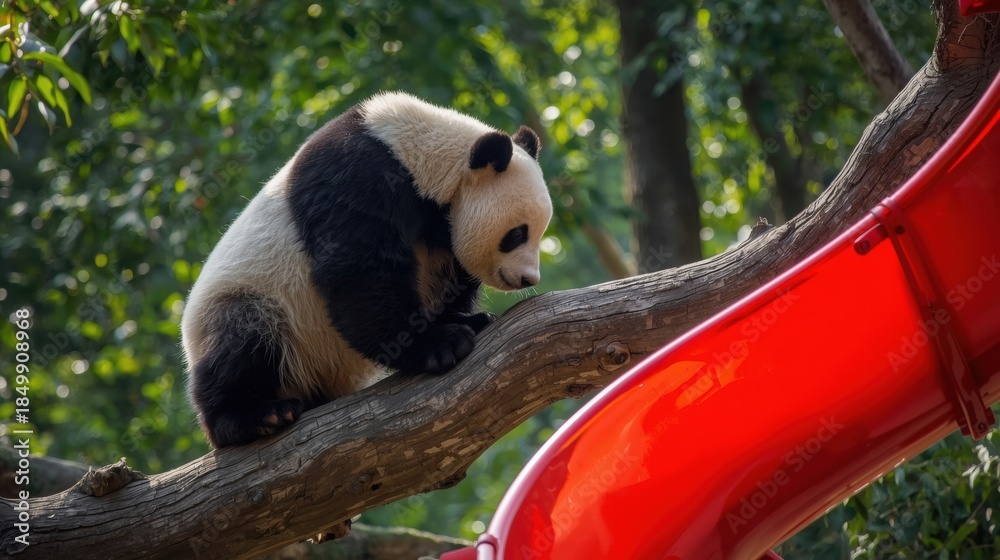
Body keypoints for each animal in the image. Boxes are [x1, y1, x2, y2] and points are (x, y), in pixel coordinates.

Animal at [181, 92, 553, 448]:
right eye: (517, 234)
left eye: (539, 232)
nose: (527, 278)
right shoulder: (358, 177)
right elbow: (359, 271)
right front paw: (439, 344)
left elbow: (447, 277)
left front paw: (467, 320)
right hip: (254, 301)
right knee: (243, 335)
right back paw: (253, 417)